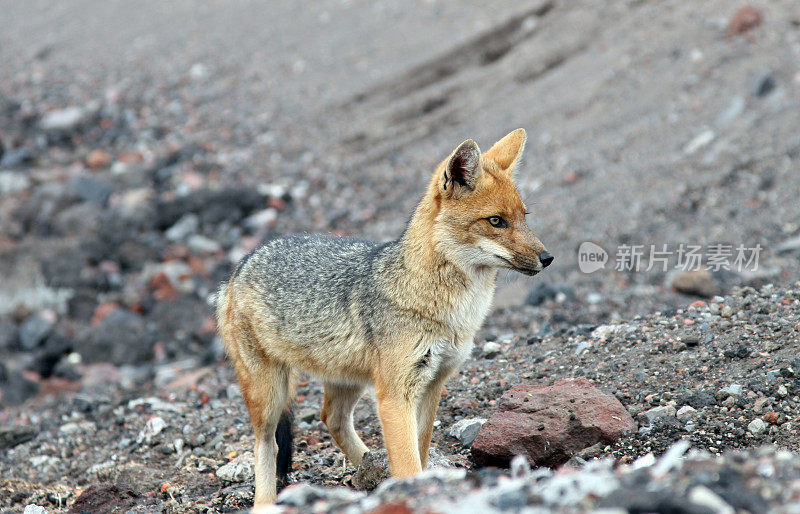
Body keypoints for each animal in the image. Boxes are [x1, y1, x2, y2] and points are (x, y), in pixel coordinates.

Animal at [216, 128, 552, 500]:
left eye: (524, 218)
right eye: (496, 221)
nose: (548, 258)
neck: (451, 311)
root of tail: (242, 263)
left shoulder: (432, 385)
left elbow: (419, 449)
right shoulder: (395, 396)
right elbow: (408, 462)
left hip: (345, 381)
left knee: (331, 418)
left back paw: (370, 470)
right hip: (269, 395)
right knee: (267, 445)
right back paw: (267, 501)